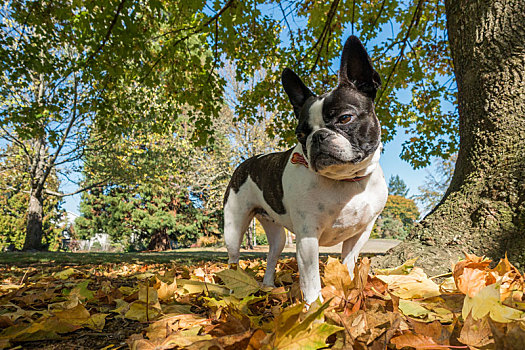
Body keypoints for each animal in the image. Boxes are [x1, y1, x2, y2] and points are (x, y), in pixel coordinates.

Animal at [223, 35, 386, 304]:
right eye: (300, 134)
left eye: (345, 118)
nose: (317, 137)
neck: (344, 182)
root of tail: (247, 162)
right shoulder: (308, 237)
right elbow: (311, 282)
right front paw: (314, 310)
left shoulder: (360, 234)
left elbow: (348, 265)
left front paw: (347, 294)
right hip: (234, 227)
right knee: (233, 260)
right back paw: (231, 292)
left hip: (277, 234)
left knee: (272, 256)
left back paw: (268, 287)